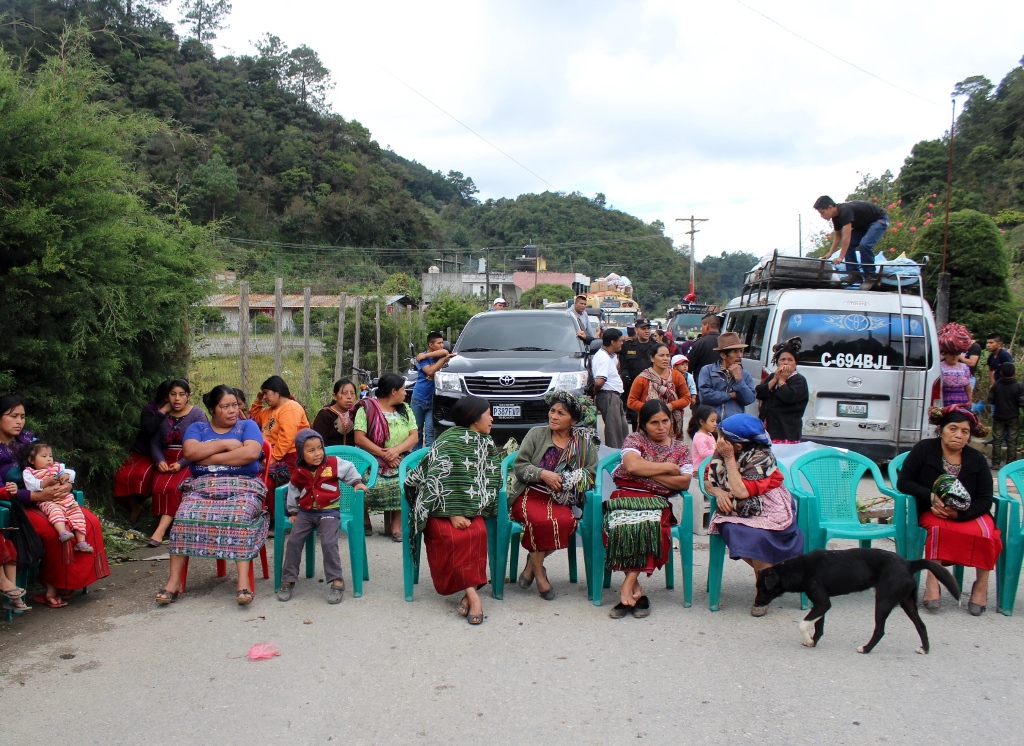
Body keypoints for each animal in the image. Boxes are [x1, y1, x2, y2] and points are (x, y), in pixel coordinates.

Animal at [753, 548, 958, 650]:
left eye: (763, 588)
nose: (756, 604)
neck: (803, 569)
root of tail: (909, 563)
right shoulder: (821, 604)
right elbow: (819, 627)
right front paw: (813, 642)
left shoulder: (822, 603)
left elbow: (802, 624)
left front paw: (809, 640)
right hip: (906, 601)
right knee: (921, 625)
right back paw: (925, 648)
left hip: (883, 601)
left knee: (880, 630)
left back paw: (866, 649)